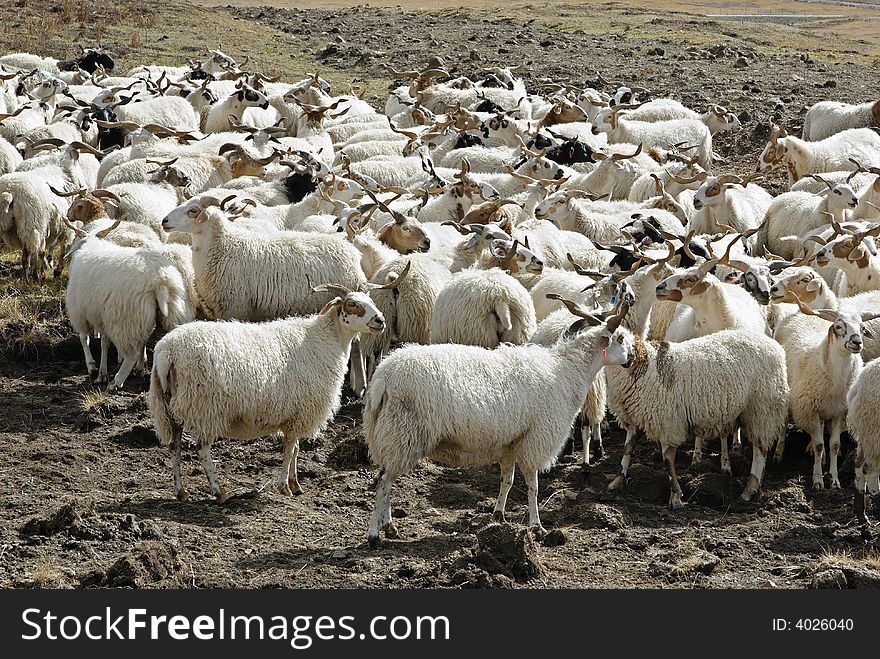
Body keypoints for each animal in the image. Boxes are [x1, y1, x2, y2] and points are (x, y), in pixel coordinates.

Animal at [148, 276, 392, 502]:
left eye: (371, 301)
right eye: (352, 304)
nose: (380, 321)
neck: (327, 339)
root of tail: (167, 352)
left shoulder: (296, 413)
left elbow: (295, 449)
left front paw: (295, 484)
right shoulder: (301, 411)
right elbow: (289, 449)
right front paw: (284, 486)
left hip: (169, 407)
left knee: (174, 447)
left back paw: (180, 492)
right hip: (205, 407)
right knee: (202, 450)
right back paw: (219, 492)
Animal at [776, 296, 872, 488]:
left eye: (862, 328)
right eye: (839, 326)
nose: (857, 342)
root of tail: (799, 313)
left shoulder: (839, 412)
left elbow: (834, 445)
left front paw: (834, 479)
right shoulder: (810, 410)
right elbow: (820, 445)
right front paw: (818, 480)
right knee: (784, 423)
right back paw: (779, 451)